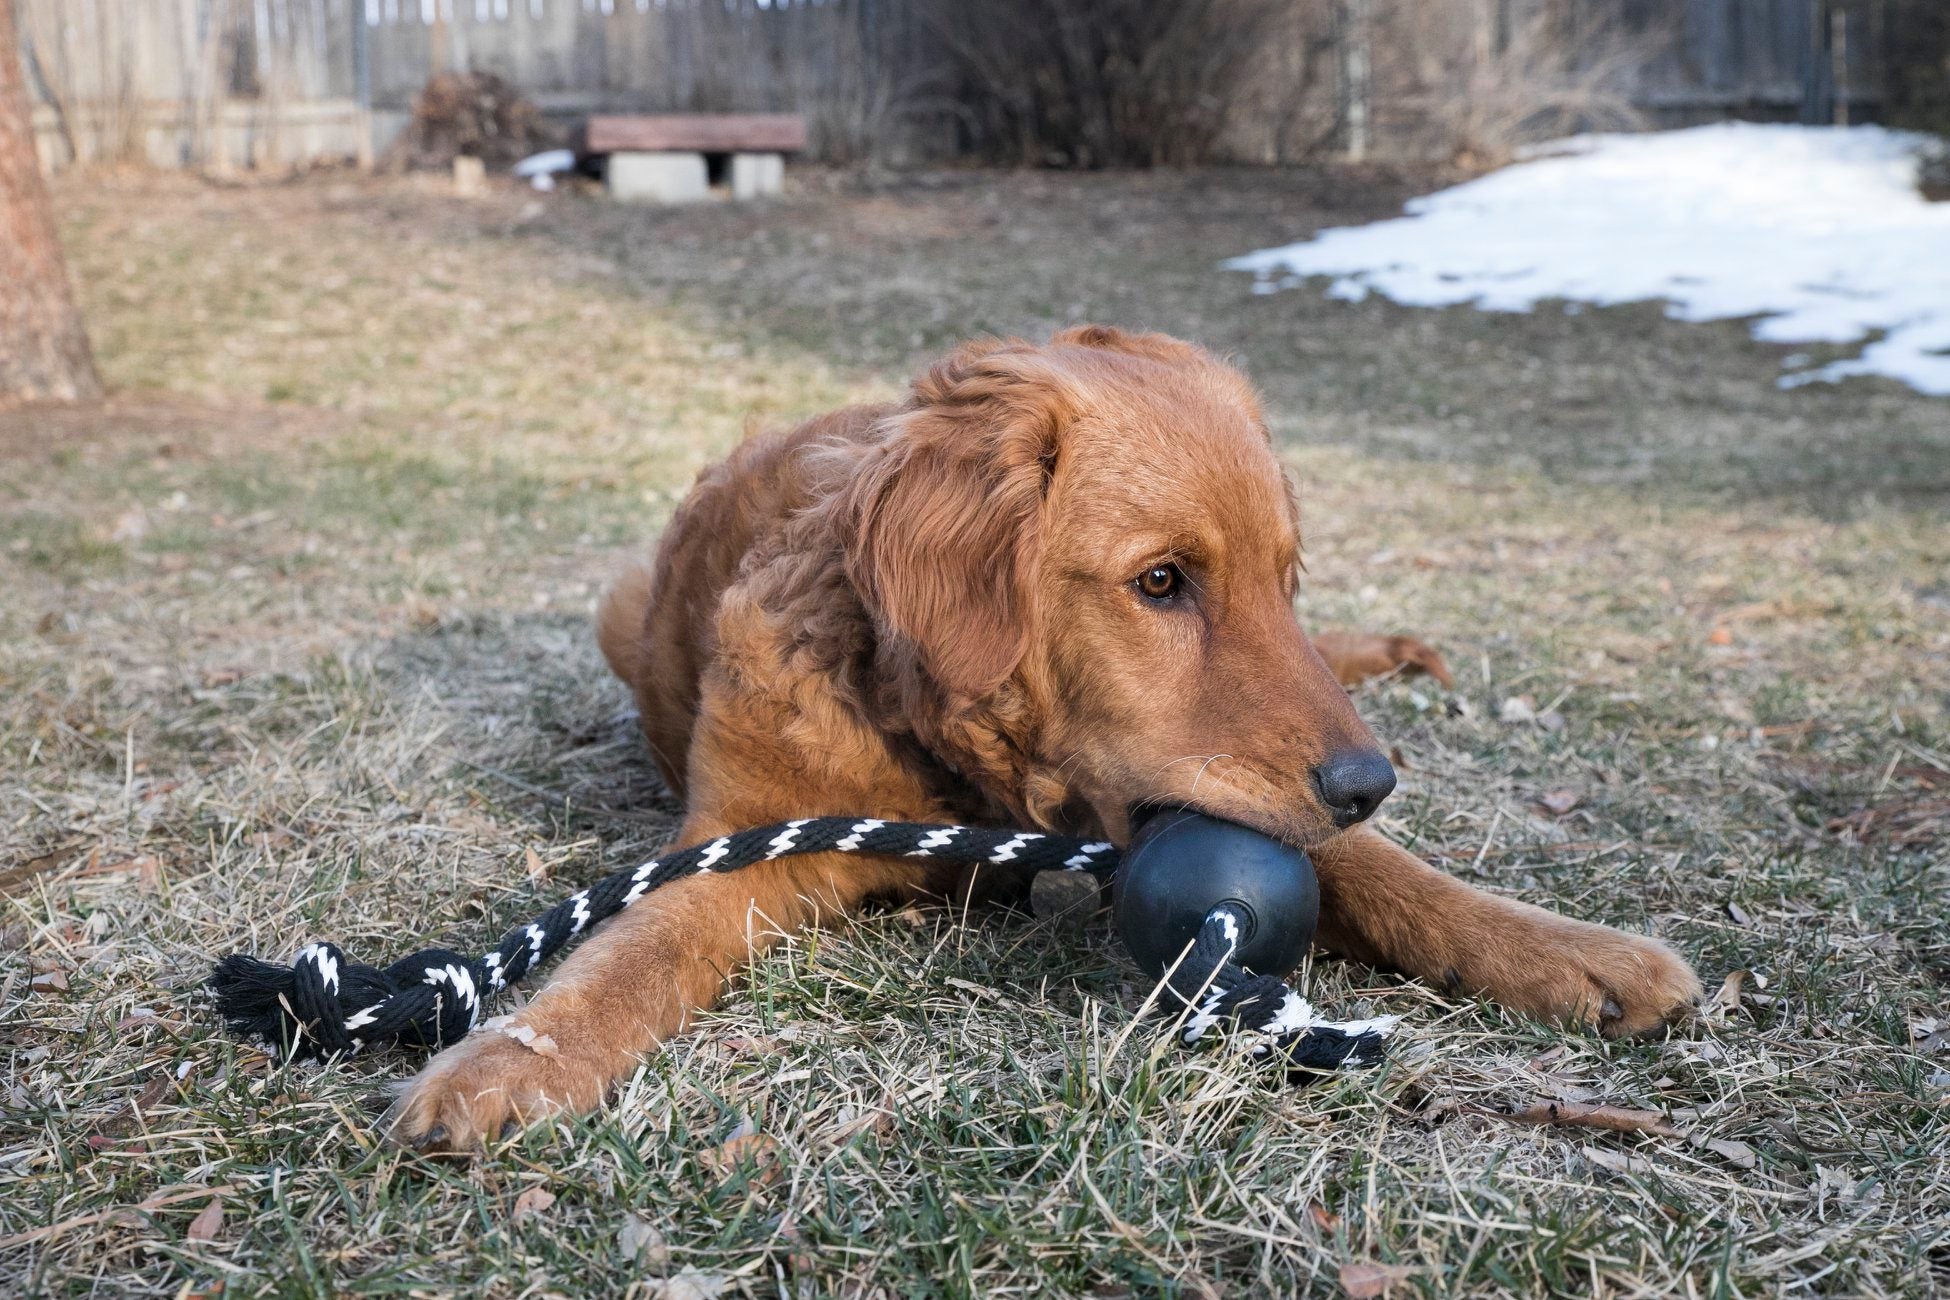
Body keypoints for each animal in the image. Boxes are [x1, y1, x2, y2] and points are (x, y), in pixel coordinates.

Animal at [388, 331, 1700, 1153]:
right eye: (1161, 581)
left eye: (1284, 580)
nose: (1371, 780)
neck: (967, 769)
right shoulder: (749, 834)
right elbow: (632, 952)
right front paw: (514, 1056)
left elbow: (1387, 874)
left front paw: (1572, 952)